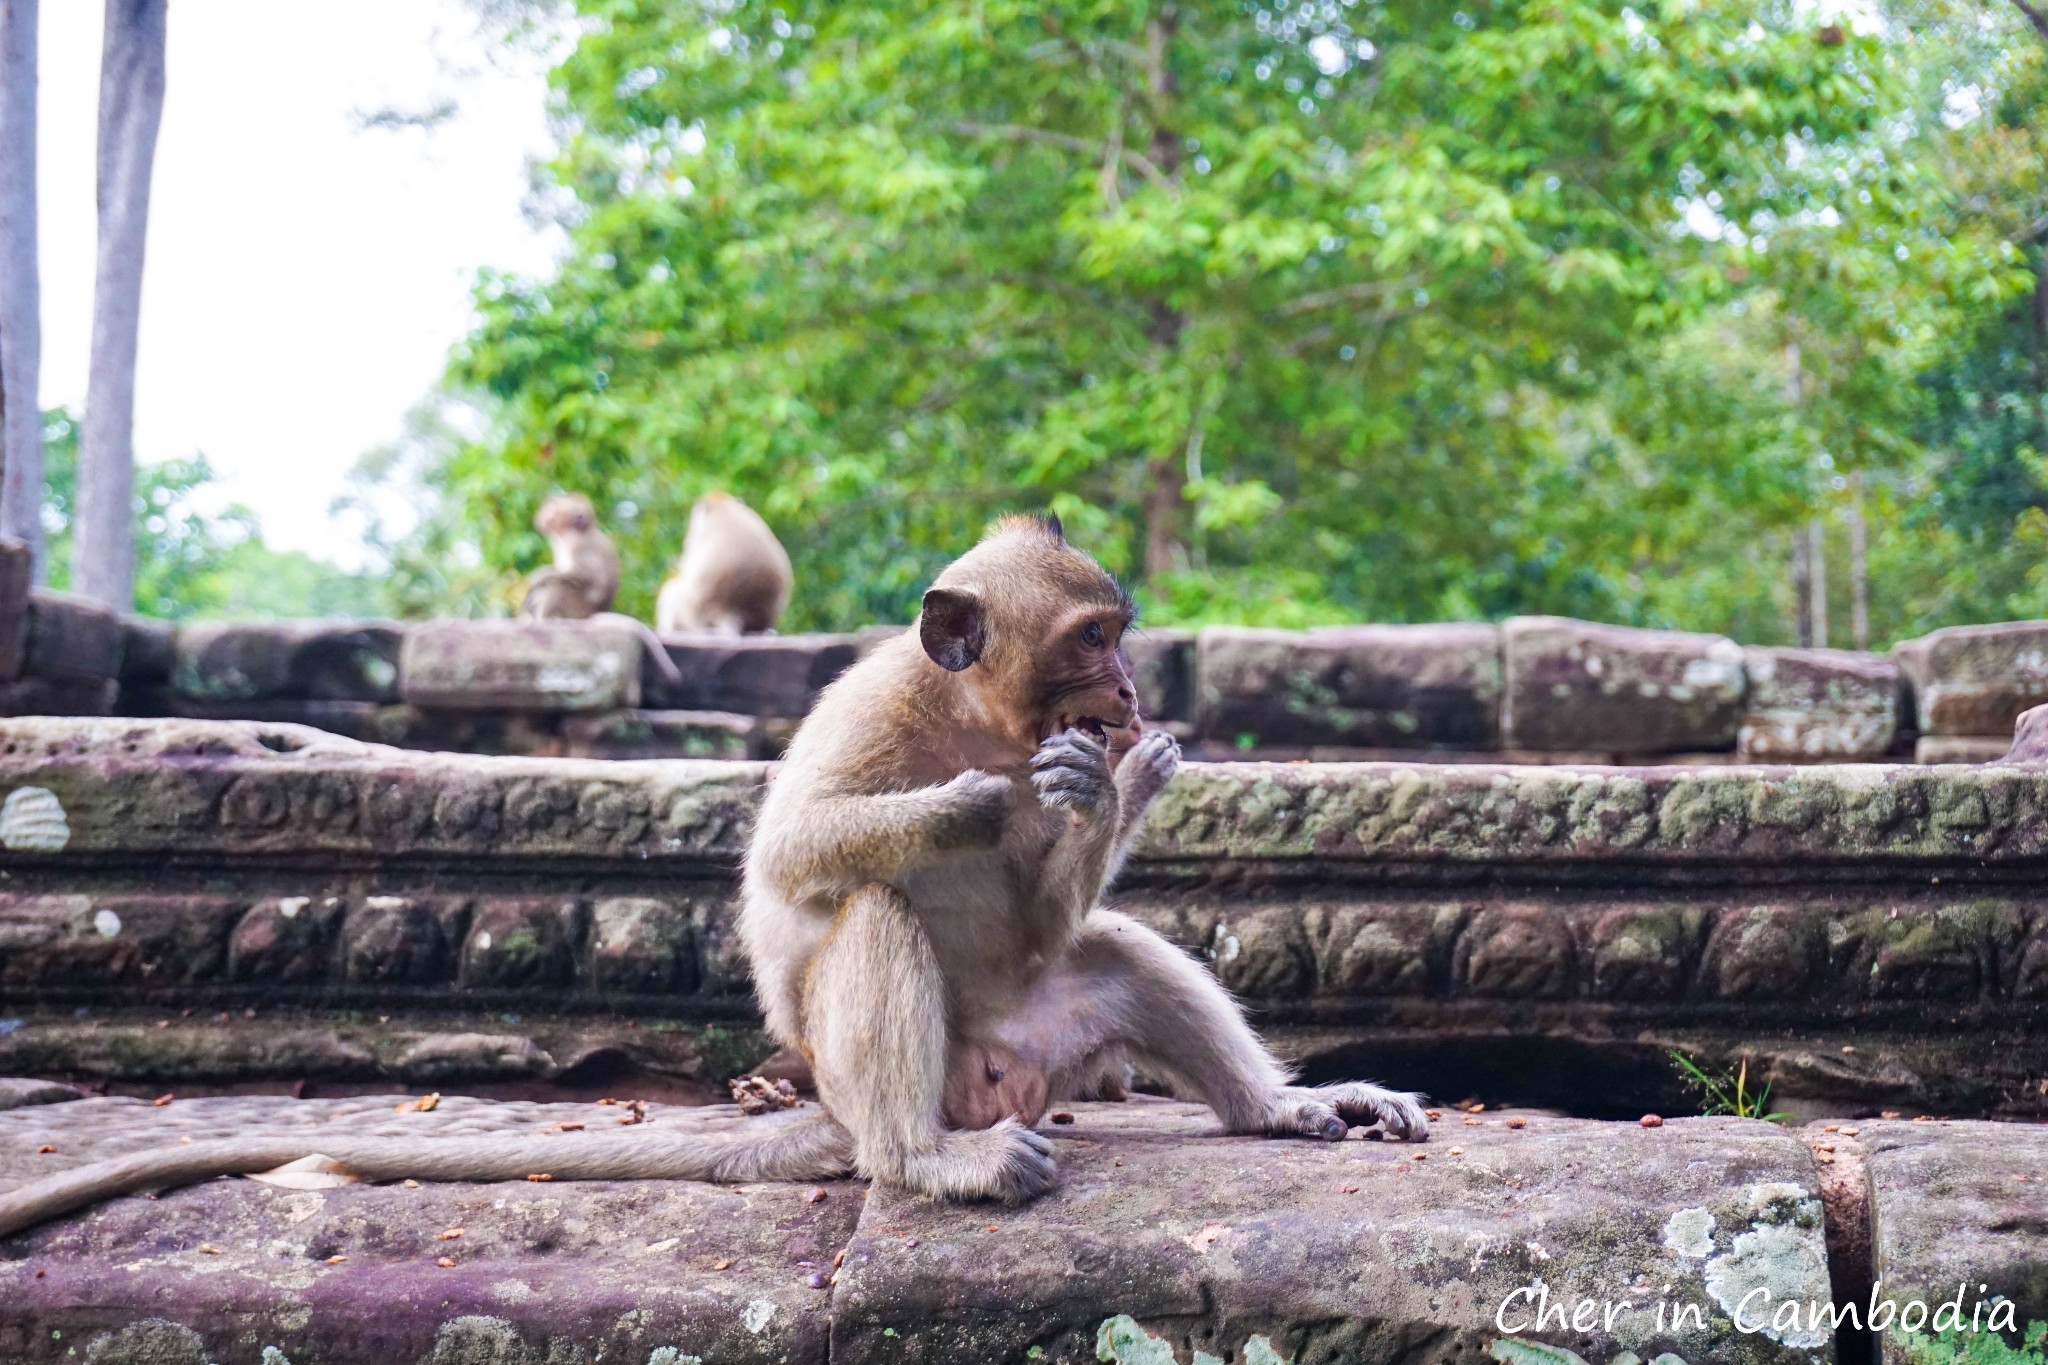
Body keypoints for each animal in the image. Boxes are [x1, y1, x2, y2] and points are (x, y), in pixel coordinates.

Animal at [0, 515, 1425, 1236]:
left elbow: (1048, 914)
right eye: (1091, 640)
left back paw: (1284, 1110)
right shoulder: (864, 718)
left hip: (1041, 1048)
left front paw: (1107, 789)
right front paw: (971, 807)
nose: (1127, 697)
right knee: (875, 910)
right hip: (895, 1083)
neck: (976, 715)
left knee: (1108, 954)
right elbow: (797, 854)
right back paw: (928, 1164)